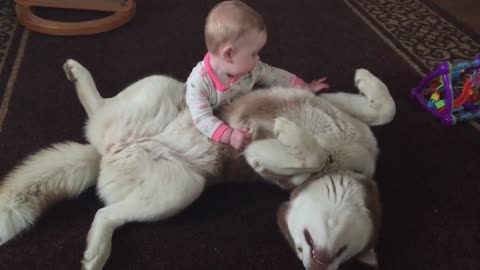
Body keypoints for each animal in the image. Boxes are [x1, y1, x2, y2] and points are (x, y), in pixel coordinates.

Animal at [0, 59, 394, 270]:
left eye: (342, 257)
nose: (317, 262)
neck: (344, 165)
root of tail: (106, 153)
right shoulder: (339, 107)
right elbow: (384, 109)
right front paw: (366, 80)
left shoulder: (280, 171)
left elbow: (301, 155)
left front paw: (279, 139)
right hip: (160, 88)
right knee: (100, 107)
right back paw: (79, 75)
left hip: (181, 186)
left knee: (106, 213)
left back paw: (97, 251)